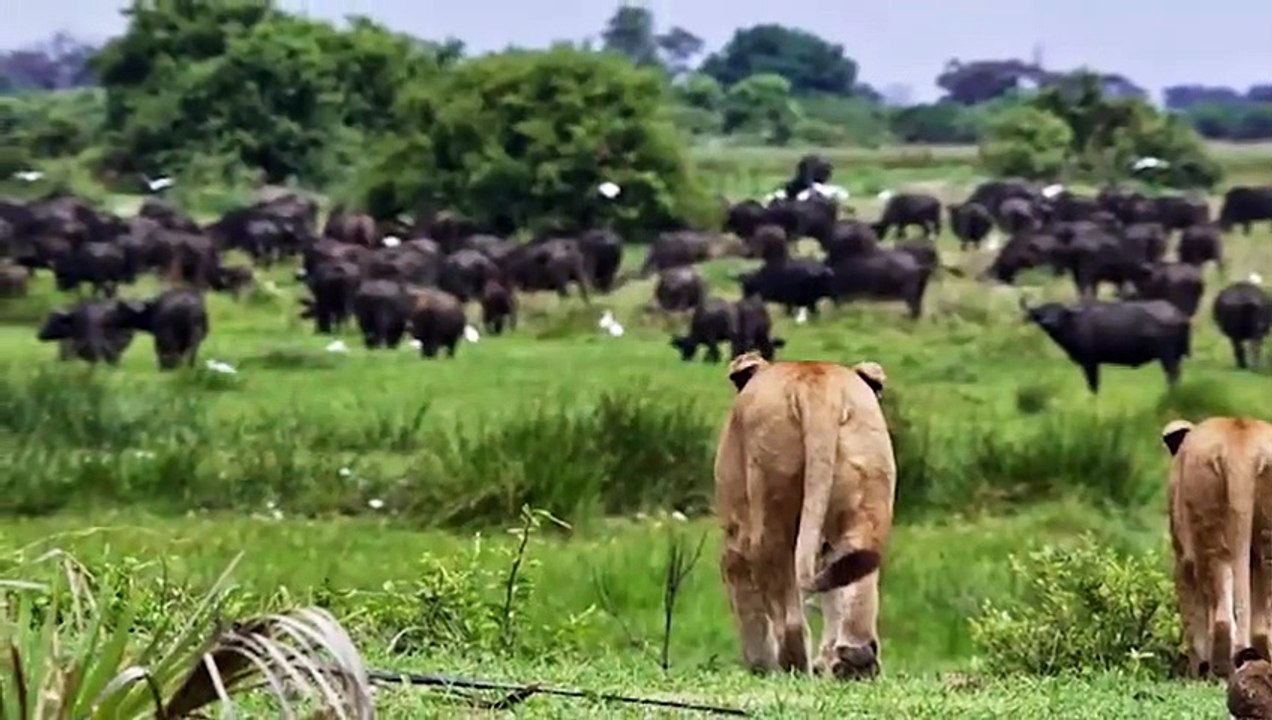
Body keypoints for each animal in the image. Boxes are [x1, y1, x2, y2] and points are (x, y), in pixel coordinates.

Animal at [714, 351, 895, 678]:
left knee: (790, 620)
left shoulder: (735, 535)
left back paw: (792, 667)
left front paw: (757, 665)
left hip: (770, 513)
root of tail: (819, 389)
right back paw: (853, 664)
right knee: (857, 583)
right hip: (866, 499)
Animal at [1162, 416, 1272, 679]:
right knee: (1260, 623)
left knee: (1222, 618)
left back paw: (1216, 670)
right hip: (1266, 538)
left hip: (1209, 538)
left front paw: (1196, 670)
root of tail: (1243, 449)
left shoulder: (1183, 559)